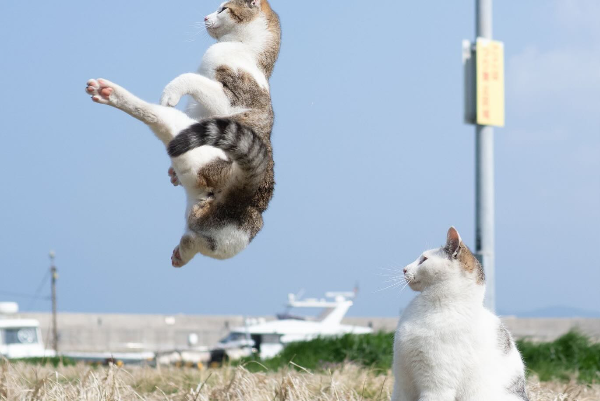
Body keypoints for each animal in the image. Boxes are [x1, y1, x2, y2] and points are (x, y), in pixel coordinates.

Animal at [85, 0, 281, 267]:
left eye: (223, 9)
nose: (206, 17)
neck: (246, 48)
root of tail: (243, 195)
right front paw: (172, 176)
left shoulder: (231, 100)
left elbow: (189, 77)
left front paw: (170, 92)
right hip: (230, 237)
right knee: (200, 240)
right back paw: (183, 251)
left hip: (185, 135)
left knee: (154, 115)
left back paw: (107, 92)